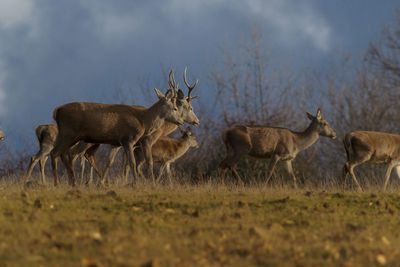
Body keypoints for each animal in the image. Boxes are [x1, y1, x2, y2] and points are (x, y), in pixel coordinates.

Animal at [49, 87, 184, 186]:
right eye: (175, 108)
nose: (181, 121)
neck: (143, 120)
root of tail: (57, 110)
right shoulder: (128, 139)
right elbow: (132, 162)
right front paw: (136, 183)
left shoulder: (116, 143)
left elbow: (110, 162)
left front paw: (103, 183)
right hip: (68, 133)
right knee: (55, 153)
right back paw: (58, 183)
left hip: (67, 135)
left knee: (60, 153)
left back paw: (71, 182)